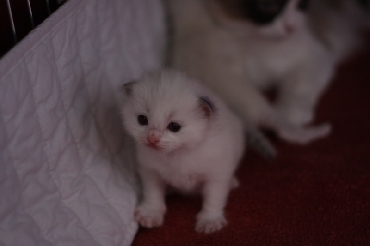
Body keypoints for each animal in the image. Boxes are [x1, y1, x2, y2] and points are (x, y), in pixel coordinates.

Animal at [121, 69, 254, 233]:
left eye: (174, 126)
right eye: (142, 120)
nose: (152, 138)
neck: (176, 154)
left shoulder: (217, 174)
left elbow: (213, 198)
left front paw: (210, 220)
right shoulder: (150, 171)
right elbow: (152, 193)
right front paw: (151, 213)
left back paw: (232, 183)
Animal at [168, 0, 368, 144]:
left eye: (302, 3)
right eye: (268, 5)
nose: (291, 27)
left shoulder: (314, 57)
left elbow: (299, 88)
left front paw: (293, 113)